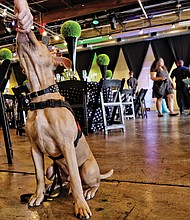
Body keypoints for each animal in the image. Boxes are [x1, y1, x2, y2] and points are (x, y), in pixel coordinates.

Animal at [15, 30, 113, 218]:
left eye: (42, 43)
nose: (24, 30)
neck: (42, 99)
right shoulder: (35, 149)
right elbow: (38, 176)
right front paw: (38, 195)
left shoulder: (66, 145)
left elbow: (75, 179)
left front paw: (80, 206)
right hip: (52, 170)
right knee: (63, 181)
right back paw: (51, 188)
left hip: (87, 169)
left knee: (90, 182)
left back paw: (89, 191)